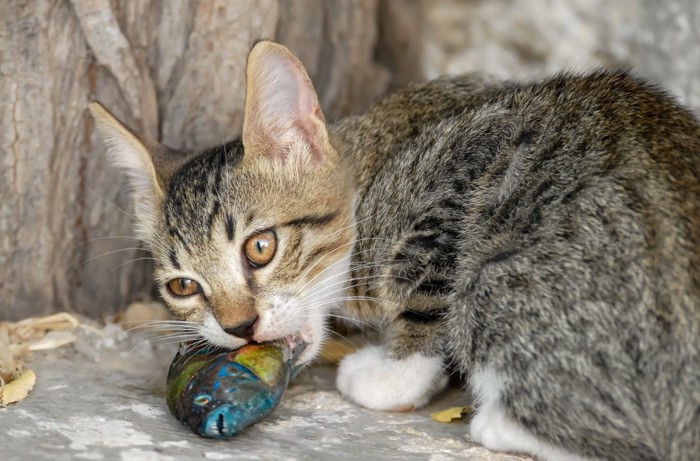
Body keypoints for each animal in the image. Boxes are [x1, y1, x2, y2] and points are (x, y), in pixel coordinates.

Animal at [90, 40, 696, 460]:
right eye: (183, 287)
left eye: (261, 247)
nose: (239, 327)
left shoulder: (463, 169)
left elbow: (423, 288)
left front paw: (392, 374)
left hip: (500, 274)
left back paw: (495, 420)